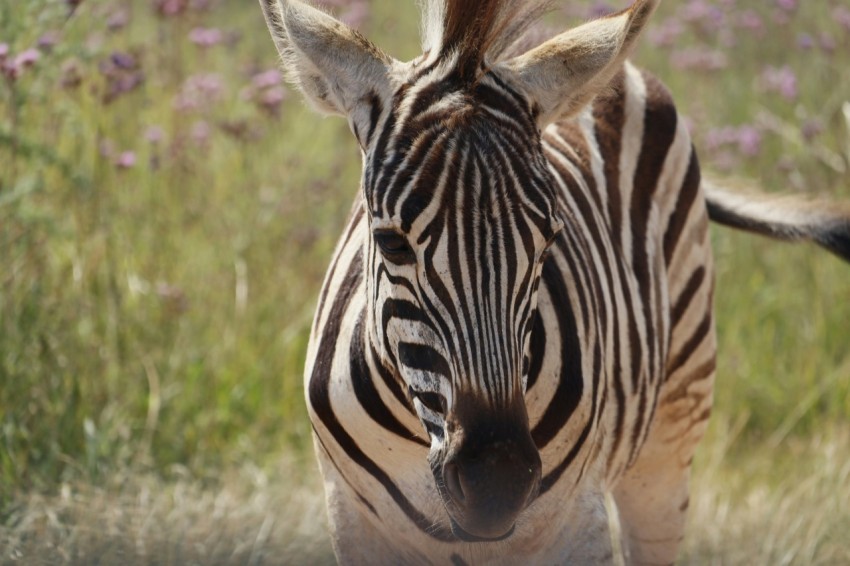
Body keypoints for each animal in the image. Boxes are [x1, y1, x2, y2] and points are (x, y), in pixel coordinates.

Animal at [259, 0, 850, 563]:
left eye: (548, 241)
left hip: (672, 431)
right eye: (391, 243)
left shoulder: (575, 519)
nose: (495, 486)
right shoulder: (353, 519)